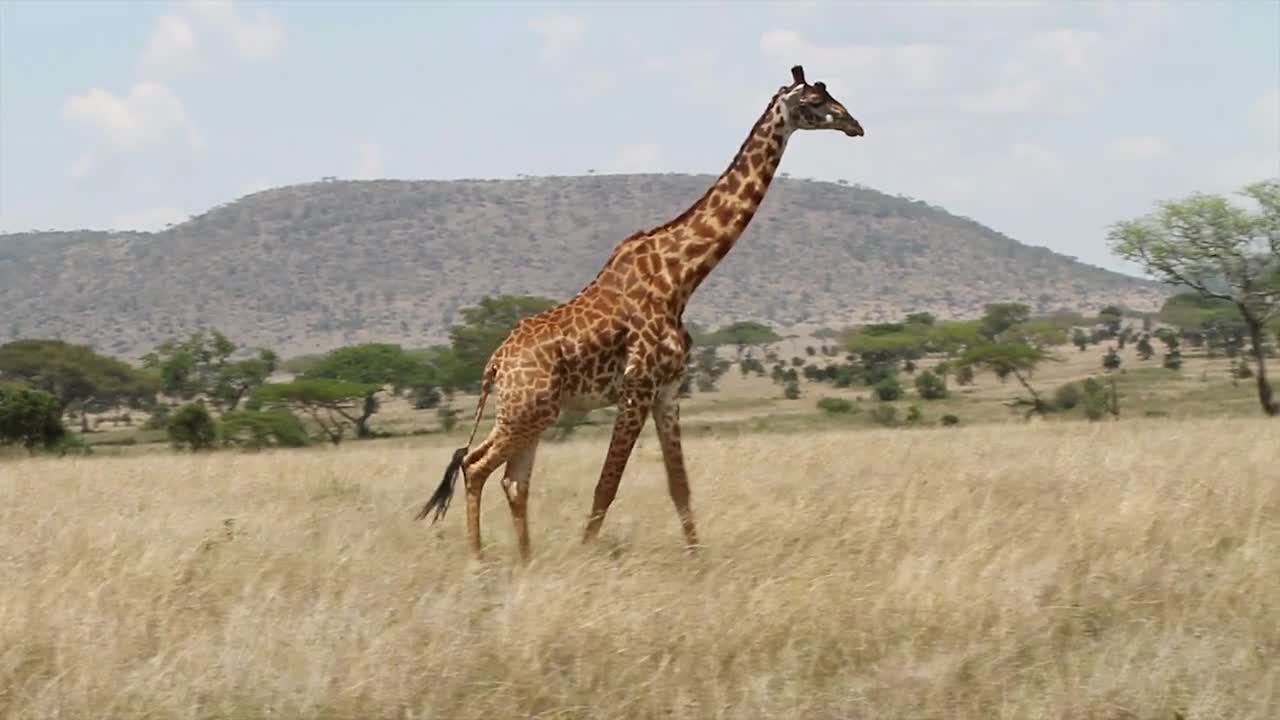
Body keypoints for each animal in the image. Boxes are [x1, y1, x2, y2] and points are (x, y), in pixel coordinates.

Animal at [414, 65, 865, 561]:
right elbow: (606, 487)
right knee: (475, 465)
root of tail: (494, 364)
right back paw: (479, 561)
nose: (855, 125)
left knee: (513, 480)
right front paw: (587, 557)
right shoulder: (636, 388)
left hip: (532, 412)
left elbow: (679, 485)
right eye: (814, 102)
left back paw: (526, 560)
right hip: (526, 410)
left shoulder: (668, 390)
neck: (681, 277)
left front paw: (697, 560)